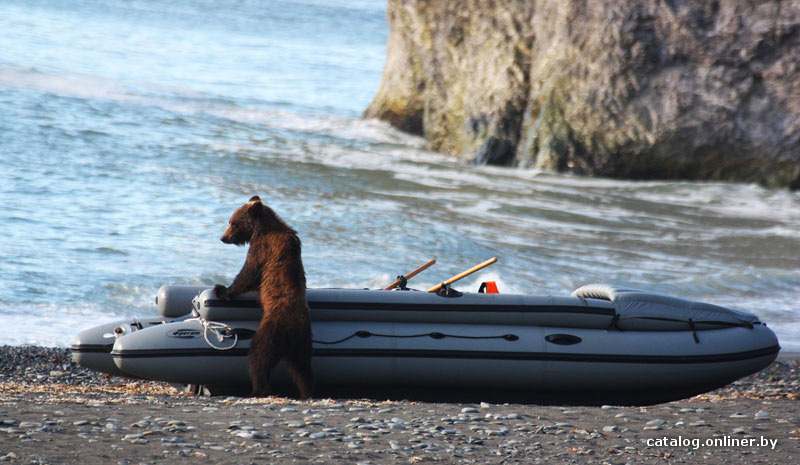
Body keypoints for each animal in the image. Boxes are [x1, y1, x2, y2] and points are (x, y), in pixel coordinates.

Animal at [214, 194, 314, 396]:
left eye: (233, 222)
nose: (223, 237)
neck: (261, 229)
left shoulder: (262, 248)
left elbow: (249, 272)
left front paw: (223, 290)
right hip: (303, 342)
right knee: (303, 368)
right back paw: (307, 391)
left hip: (272, 329)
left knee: (259, 356)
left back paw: (259, 388)